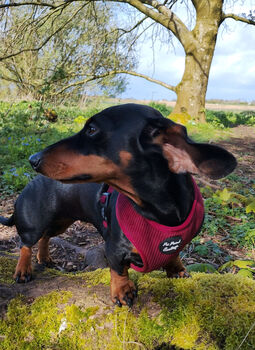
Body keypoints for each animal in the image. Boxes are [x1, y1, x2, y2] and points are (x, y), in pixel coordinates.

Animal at [0, 104, 237, 306]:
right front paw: (122, 291)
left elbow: (174, 254)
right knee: (26, 244)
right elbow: (118, 270)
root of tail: (30, 184)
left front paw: (177, 270)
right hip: (34, 223)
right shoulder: (113, 249)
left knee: (46, 236)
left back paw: (45, 257)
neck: (159, 212)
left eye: (92, 129)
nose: (33, 159)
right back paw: (23, 270)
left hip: (61, 222)